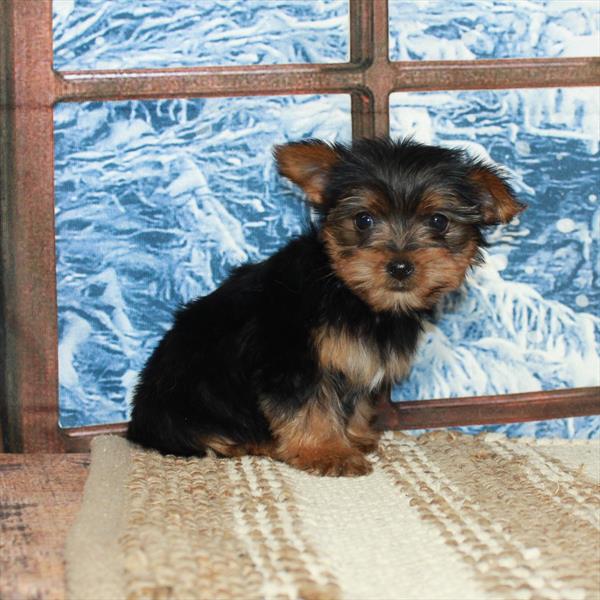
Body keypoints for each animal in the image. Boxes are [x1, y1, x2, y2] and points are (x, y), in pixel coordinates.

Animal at [127, 138, 524, 476]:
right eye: (363, 220)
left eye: (439, 221)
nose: (399, 266)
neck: (350, 294)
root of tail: (139, 420)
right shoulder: (292, 361)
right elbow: (309, 407)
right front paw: (327, 452)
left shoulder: (359, 362)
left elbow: (357, 401)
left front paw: (355, 437)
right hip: (188, 400)